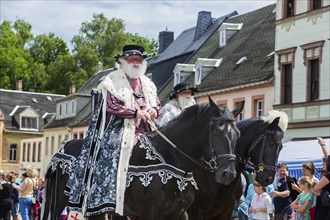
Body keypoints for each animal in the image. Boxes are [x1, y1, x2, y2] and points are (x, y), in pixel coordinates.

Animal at [41, 98, 244, 220]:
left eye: (237, 134)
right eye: (217, 131)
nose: (228, 174)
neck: (171, 159)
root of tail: (63, 147)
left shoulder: (178, 213)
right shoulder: (150, 213)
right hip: (60, 201)